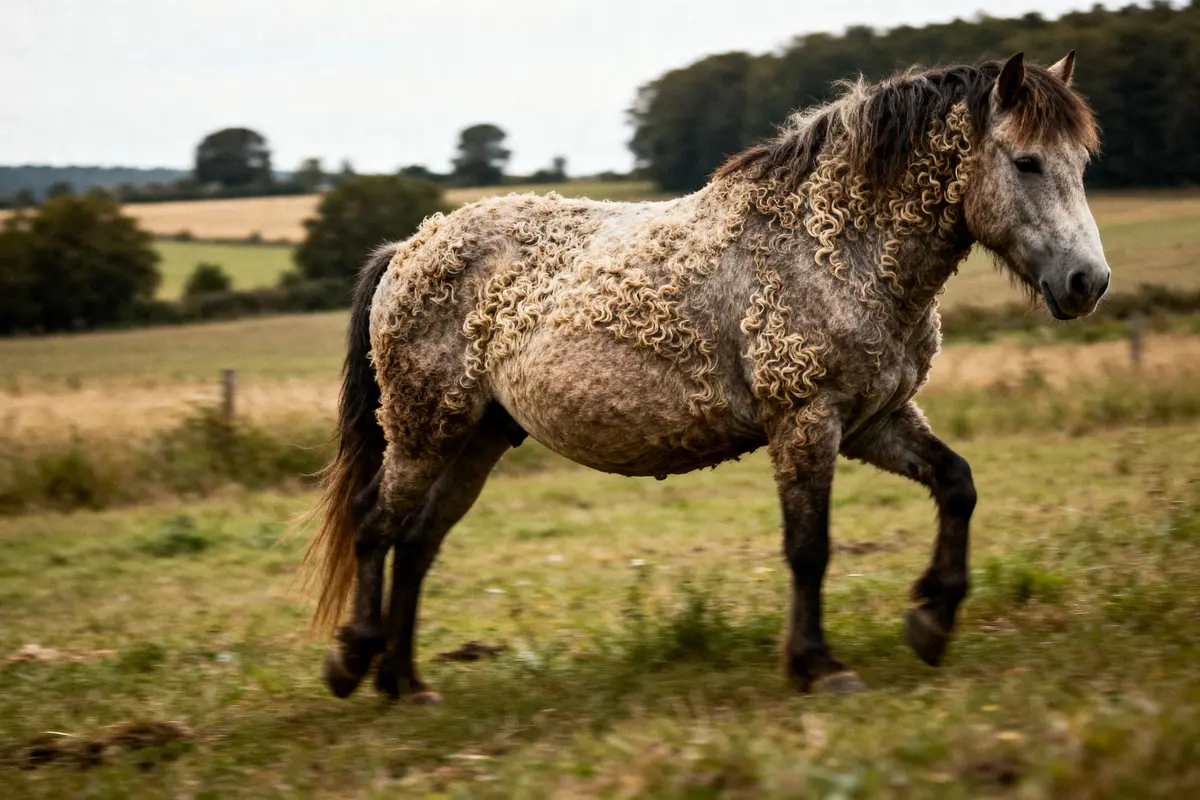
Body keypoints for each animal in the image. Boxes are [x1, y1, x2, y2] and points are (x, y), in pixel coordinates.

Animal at [304, 52, 1107, 702]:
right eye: (1028, 162)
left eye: (1082, 163)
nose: (1087, 282)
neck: (837, 245)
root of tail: (411, 246)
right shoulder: (807, 421)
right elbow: (809, 546)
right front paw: (819, 665)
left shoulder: (875, 420)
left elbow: (957, 484)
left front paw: (932, 619)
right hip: (423, 429)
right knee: (376, 523)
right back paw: (353, 662)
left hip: (476, 439)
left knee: (417, 542)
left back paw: (406, 684)